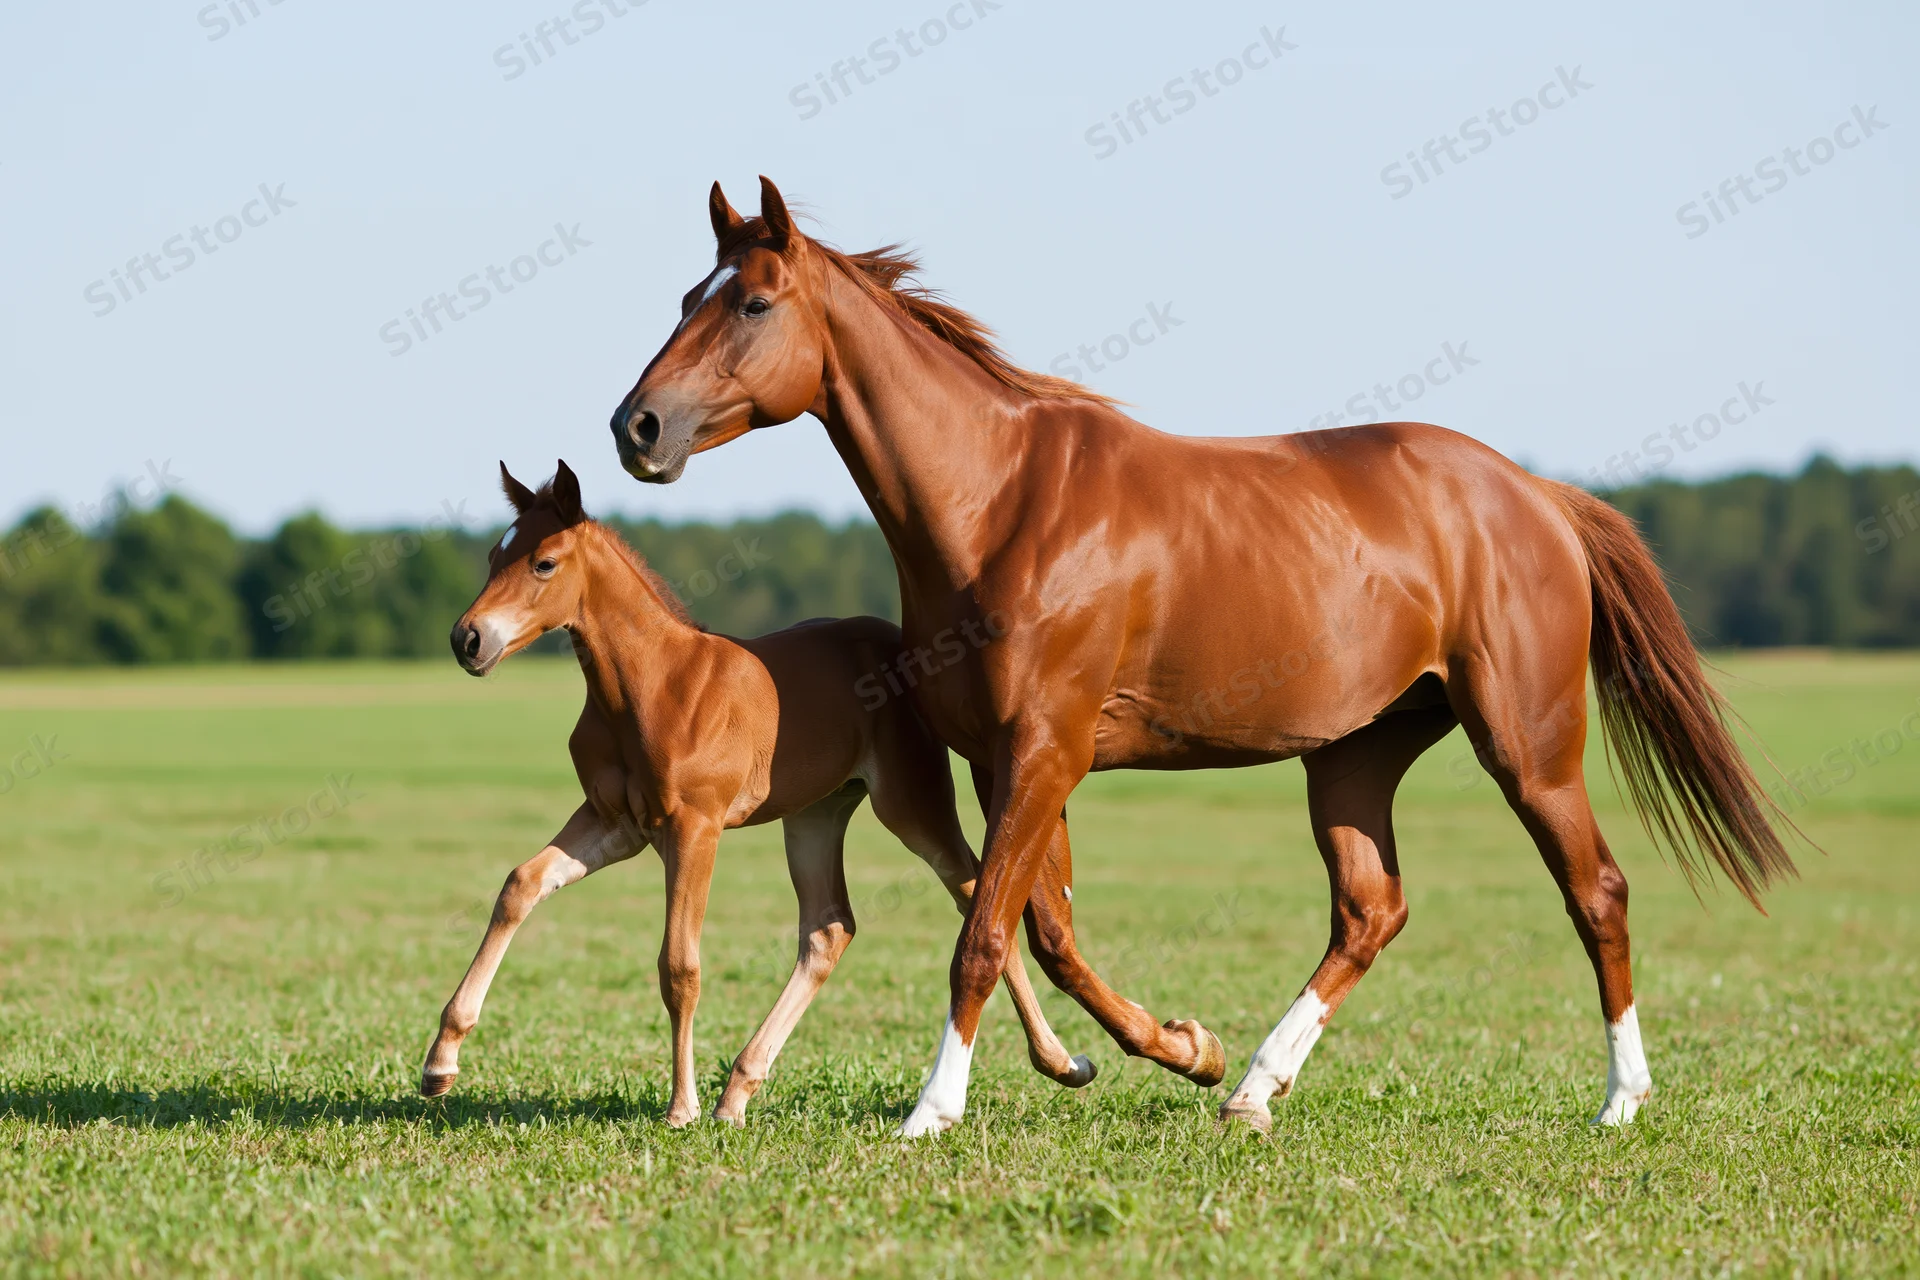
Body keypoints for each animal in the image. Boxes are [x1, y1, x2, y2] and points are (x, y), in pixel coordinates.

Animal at [420, 460, 1094, 1127]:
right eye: (492, 555)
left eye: (544, 563)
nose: (466, 640)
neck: (653, 684)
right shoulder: (615, 823)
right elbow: (520, 886)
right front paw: (440, 1062)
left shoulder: (694, 826)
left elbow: (679, 964)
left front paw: (681, 1106)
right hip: (816, 814)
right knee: (829, 928)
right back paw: (739, 1090)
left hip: (911, 805)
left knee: (976, 893)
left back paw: (1059, 1061)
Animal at [605, 178, 1798, 1137]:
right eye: (684, 297)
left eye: (752, 302)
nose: (637, 427)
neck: (1002, 504)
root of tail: (1537, 496)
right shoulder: (1008, 762)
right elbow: (1050, 932)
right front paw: (1185, 1048)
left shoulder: (1045, 751)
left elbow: (984, 936)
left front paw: (932, 1111)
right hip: (1354, 756)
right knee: (1371, 911)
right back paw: (1254, 1089)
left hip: (1528, 746)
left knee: (1597, 891)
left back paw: (1621, 1100)